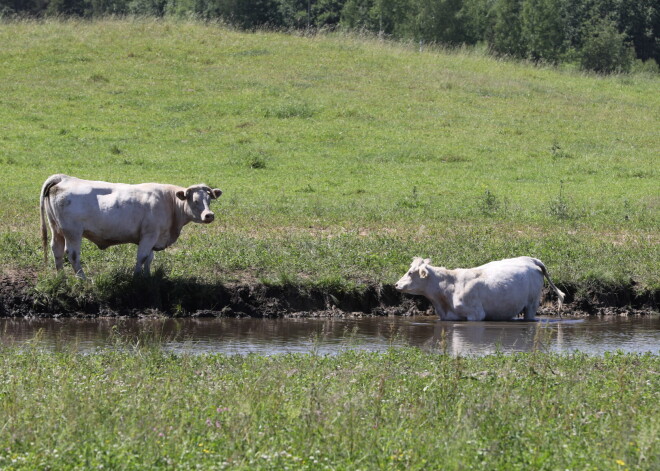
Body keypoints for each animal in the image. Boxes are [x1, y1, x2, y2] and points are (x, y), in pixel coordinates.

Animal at [40, 174, 222, 278]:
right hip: (73, 232)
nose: (209, 215)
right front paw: (136, 277)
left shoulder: (153, 237)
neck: (169, 202)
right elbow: (142, 257)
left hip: (56, 229)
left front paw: (148, 277)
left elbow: (149, 258)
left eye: (209, 199)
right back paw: (82, 279)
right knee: (72, 254)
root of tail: (64, 178)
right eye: (195, 200)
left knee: (56, 250)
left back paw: (61, 278)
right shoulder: (149, 234)